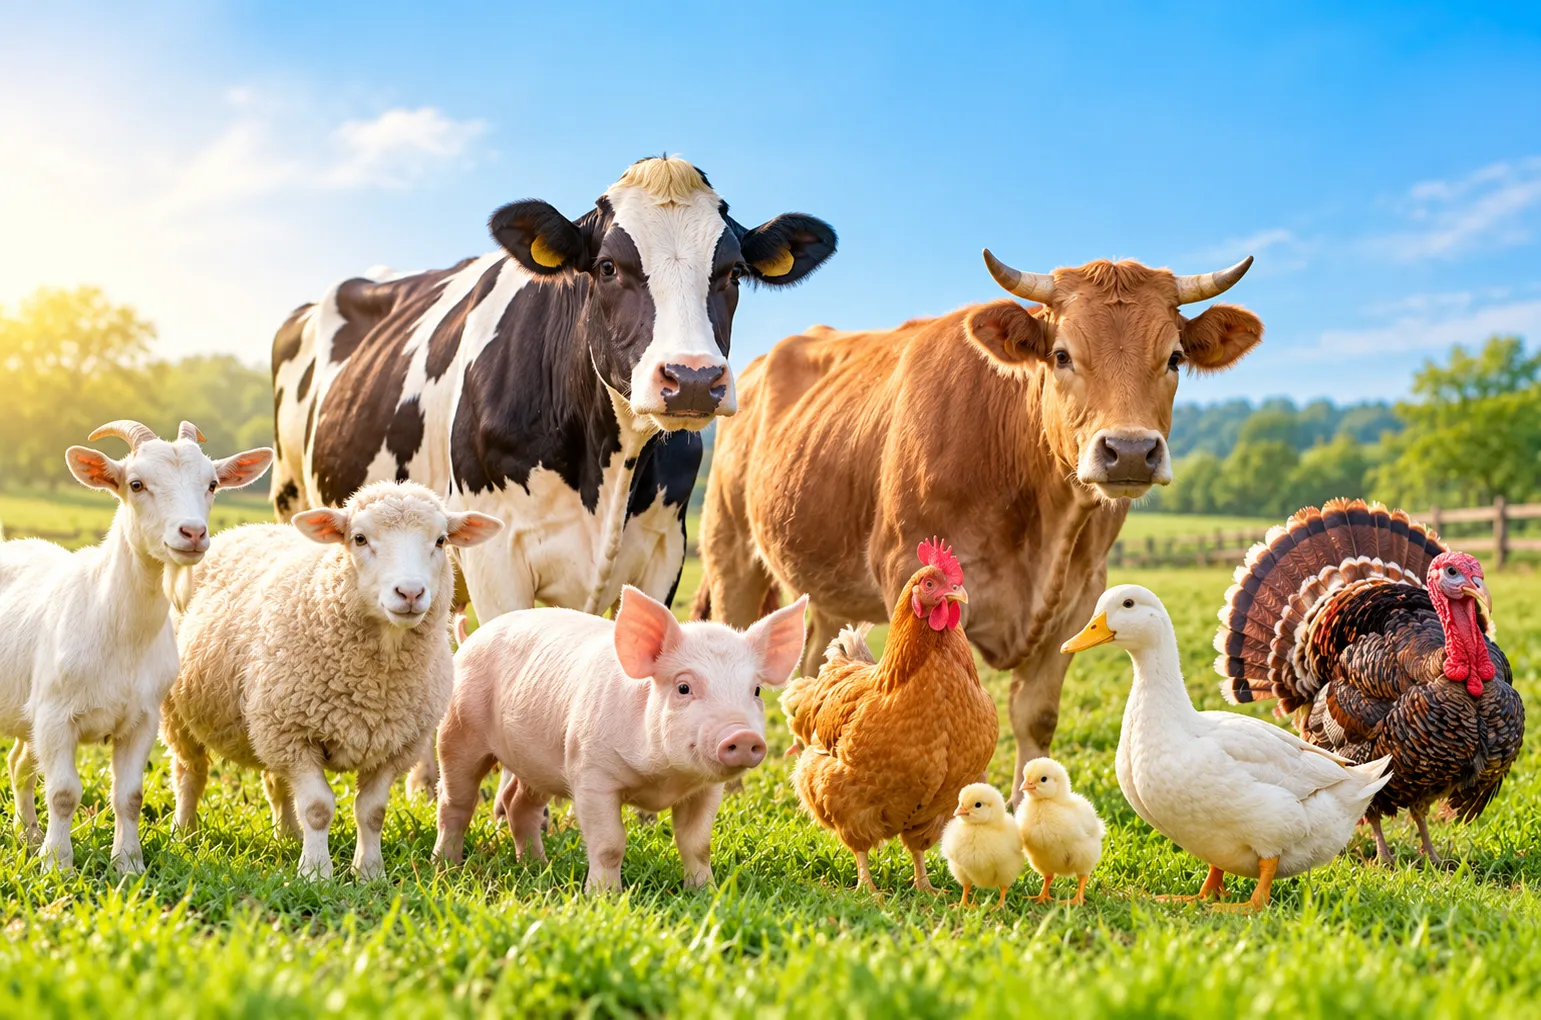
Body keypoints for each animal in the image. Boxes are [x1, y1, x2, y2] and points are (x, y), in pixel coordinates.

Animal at [270, 156, 837, 795]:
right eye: (609, 267)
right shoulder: (498, 557)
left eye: (733, 272)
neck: (604, 470)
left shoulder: (664, 549)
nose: (693, 378)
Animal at [694, 251, 1262, 804]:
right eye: (1061, 355)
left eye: (1174, 358)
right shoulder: (913, 570)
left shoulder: (1082, 595)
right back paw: (732, 791)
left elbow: (1036, 715)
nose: (1129, 451)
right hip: (730, 548)